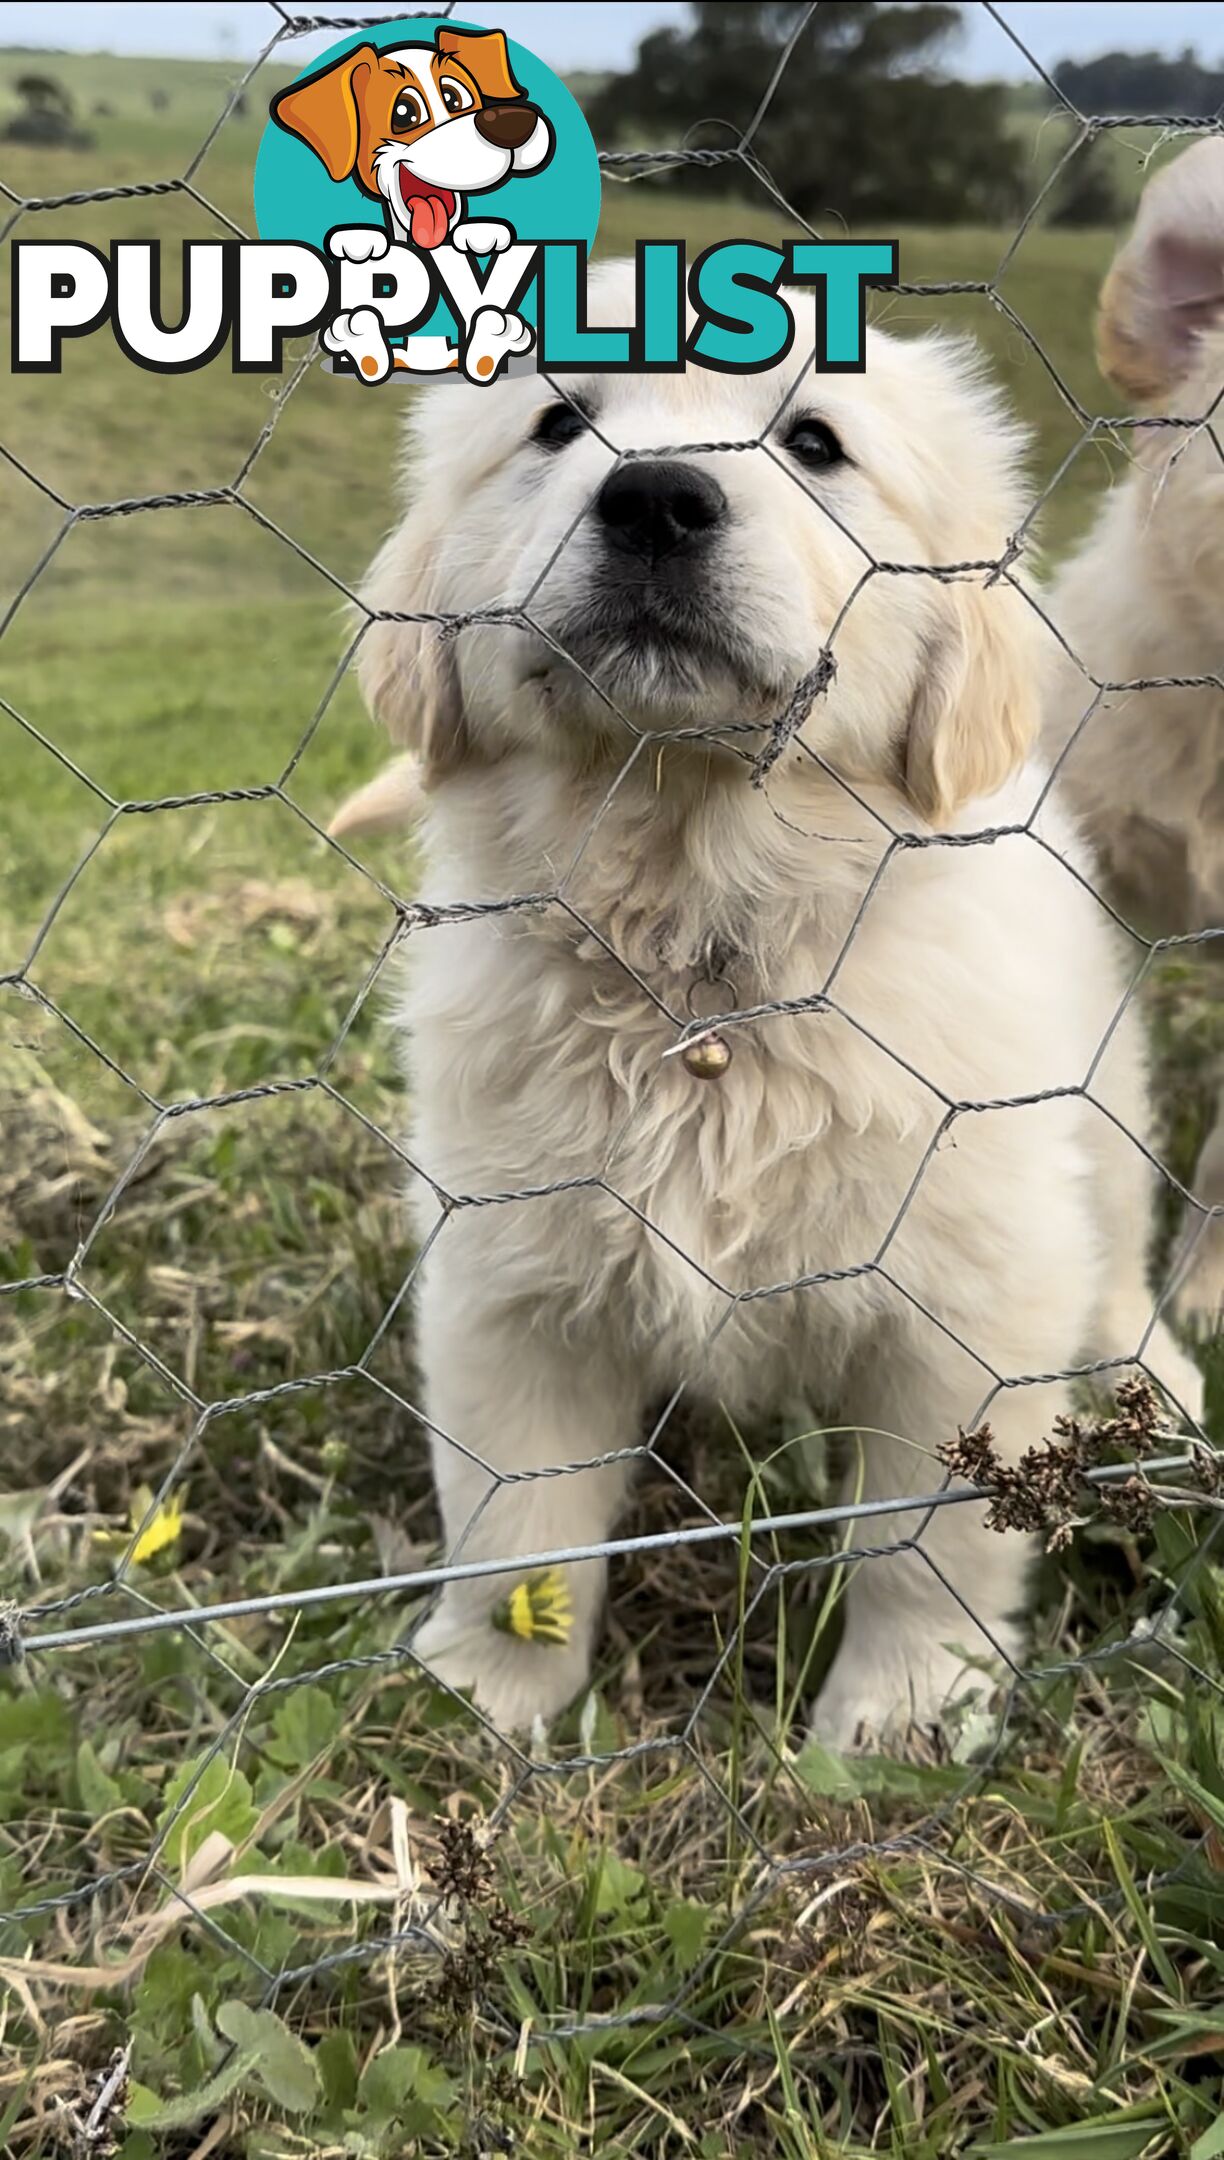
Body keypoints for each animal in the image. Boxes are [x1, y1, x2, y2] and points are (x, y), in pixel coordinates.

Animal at [349, 270, 1200, 1745]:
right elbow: (519, 1526)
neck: (708, 962)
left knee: (1113, 1275)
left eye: (814, 443)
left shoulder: (967, 1303)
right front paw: (485, 1697)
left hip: (1101, 1131)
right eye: (557, 424)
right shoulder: (508, 1283)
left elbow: (929, 1538)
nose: (655, 499)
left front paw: (903, 1715)